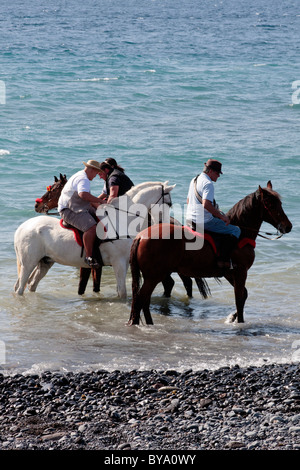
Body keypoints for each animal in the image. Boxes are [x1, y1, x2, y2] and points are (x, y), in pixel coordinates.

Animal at [129, 182, 292, 324]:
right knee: (140, 300)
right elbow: (239, 299)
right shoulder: (240, 271)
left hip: (155, 276)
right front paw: (239, 321)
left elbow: (243, 295)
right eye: (270, 204)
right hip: (154, 276)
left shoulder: (230, 273)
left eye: (280, 203)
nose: (288, 226)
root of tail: (141, 236)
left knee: (145, 300)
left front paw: (232, 317)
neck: (241, 234)